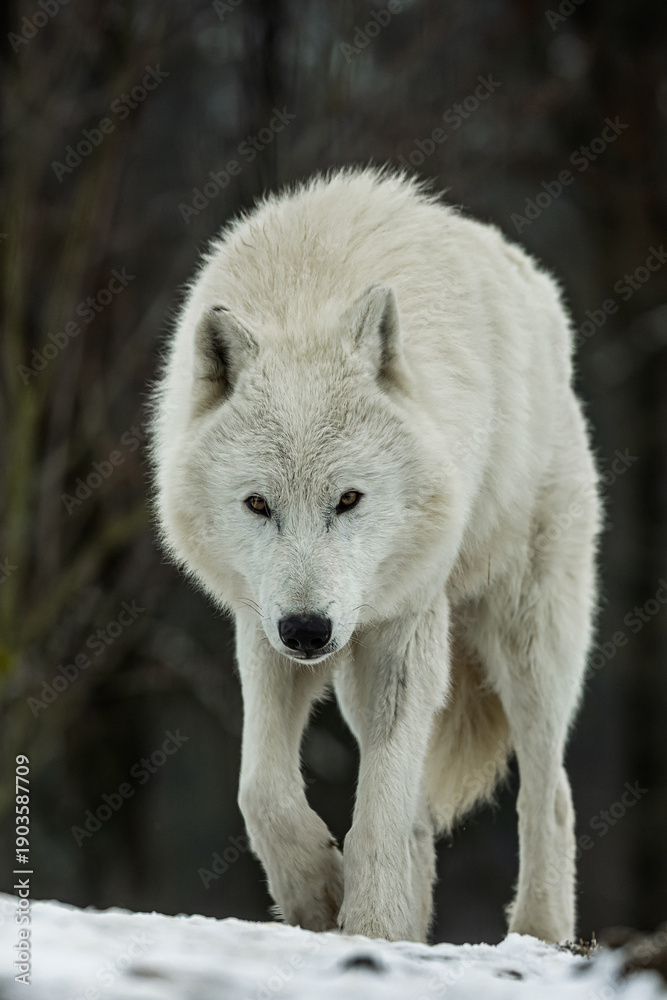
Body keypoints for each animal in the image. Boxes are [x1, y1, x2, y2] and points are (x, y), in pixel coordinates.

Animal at [151, 168, 600, 944]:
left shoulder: (402, 624)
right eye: (258, 505)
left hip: (528, 639)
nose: (308, 632)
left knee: (550, 795)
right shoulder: (262, 625)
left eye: (349, 499)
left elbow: (380, 809)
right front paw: (319, 894)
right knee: (419, 810)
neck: (306, 289)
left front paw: (370, 925)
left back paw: (539, 934)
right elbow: (262, 791)